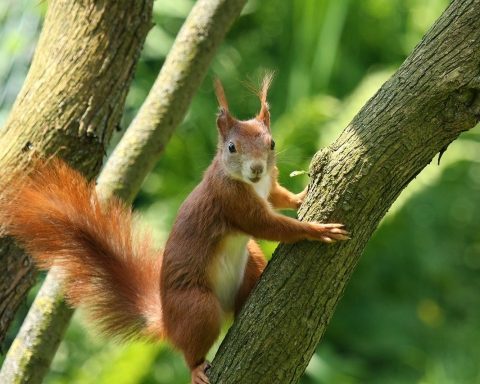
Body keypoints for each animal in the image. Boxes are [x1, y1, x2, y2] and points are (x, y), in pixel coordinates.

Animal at [0, 75, 348, 384]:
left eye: (271, 143)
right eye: (231, 148)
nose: (256, 168)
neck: (251, 184)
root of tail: (168, 321)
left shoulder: (268, 187)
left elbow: (278, 197)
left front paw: (301, 195)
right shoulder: (230, 201)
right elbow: (268, 226)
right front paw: (316, 229)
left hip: (249, 261)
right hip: (197, 306)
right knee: (191, 347)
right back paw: (195, 368)